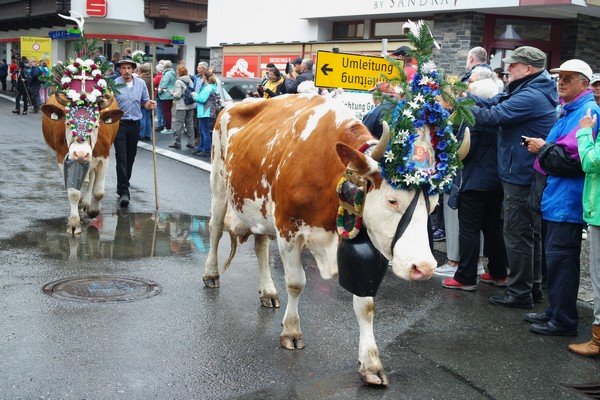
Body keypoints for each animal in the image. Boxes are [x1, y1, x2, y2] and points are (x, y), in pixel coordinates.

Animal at [41, 93, 123, 234]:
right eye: (68, 123)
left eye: (96, 126)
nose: (81, 154)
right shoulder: (63, 158)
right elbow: (73, 193)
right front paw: (74, 223)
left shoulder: (104, 157)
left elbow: (99, 192)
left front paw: (93, 211)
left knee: (92, 177)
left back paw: (86, 202)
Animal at [204, 93, 438, 384]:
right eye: (392, 200)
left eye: (434, 205)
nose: (424, 268)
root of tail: (236, 102)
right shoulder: (288, 229)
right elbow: (296, 283)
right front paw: (292, 331)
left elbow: (366, 304)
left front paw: (371, 363)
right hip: (219, 185)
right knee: (214, 228)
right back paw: (211, 274)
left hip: (259, 209)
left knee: (261, 245)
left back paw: (268, 291)